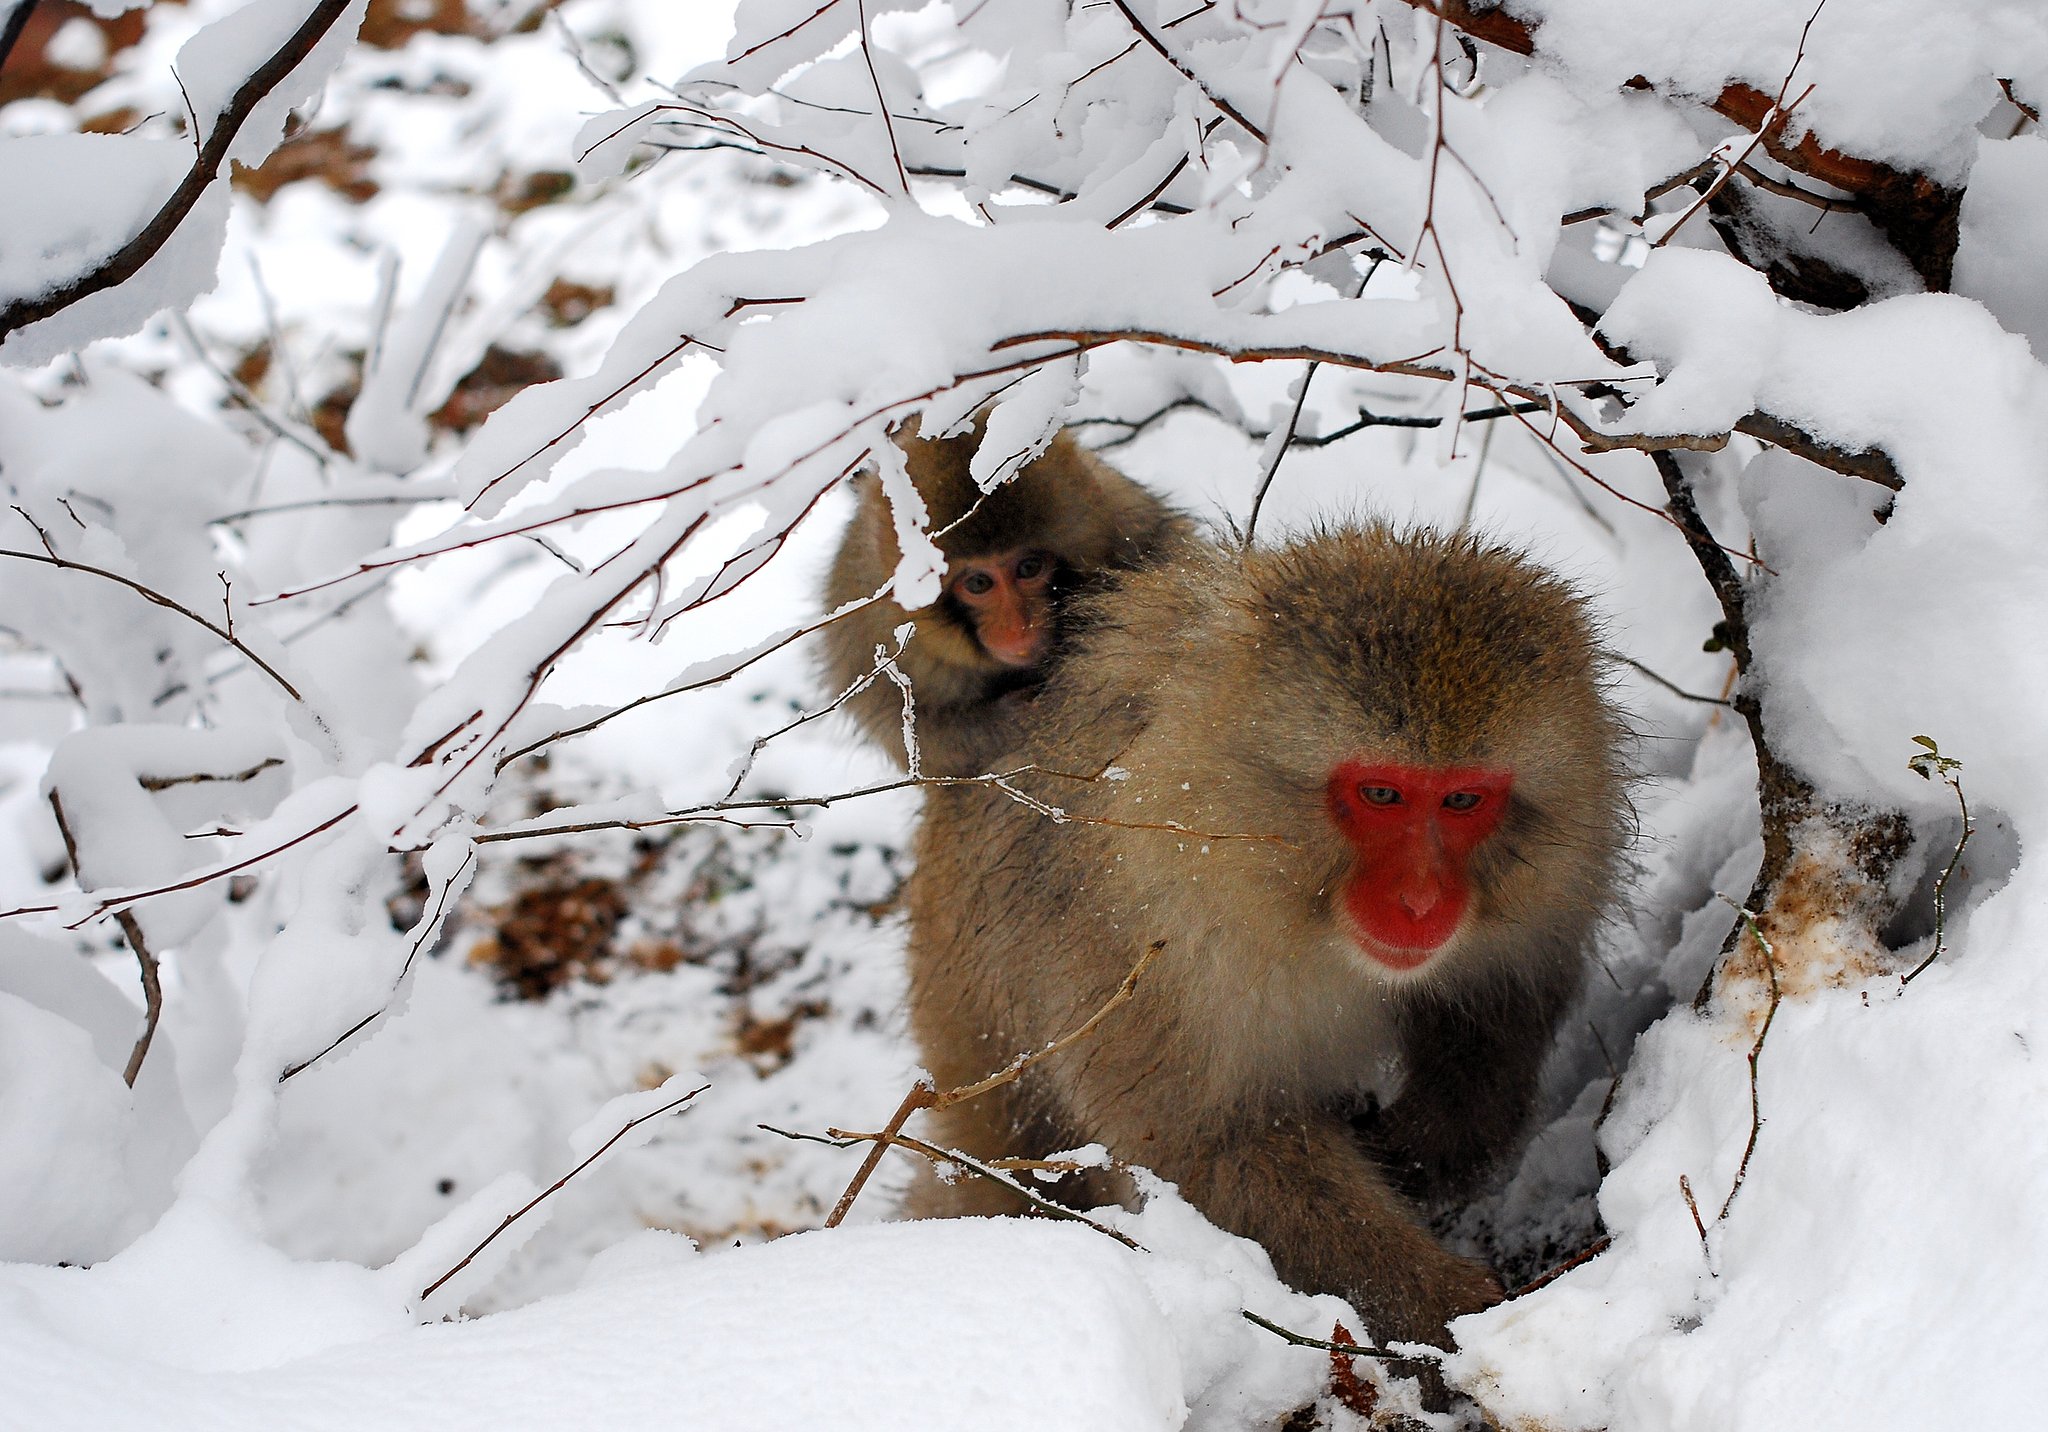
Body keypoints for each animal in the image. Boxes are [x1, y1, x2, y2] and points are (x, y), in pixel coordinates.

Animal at [821, 416, 1189, 777]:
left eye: (1029, 568)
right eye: (979, 583)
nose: (1018, 628)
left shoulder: (1131, 526)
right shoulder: (864, 621)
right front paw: (1010, 720)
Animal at [899, 523, 1631, 1348]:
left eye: (1463, 800)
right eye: (1382, 794)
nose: (1419, 902)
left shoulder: (1542, 906)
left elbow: (1499, 1024)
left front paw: (1423, 1147)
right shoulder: (1156, 951)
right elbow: (1212, 1144)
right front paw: (1443, 1308)